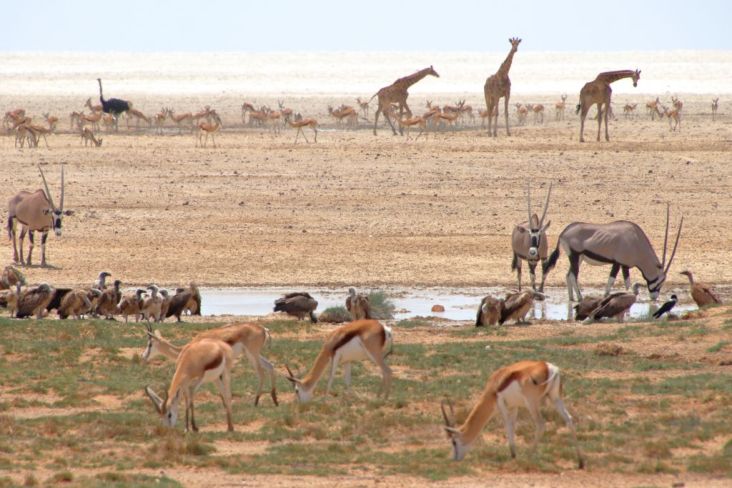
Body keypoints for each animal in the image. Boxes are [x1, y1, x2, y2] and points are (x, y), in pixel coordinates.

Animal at [544, 203, 680, 302]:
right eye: (660, 280)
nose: (654, 297)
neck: (636, 240)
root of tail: (564, 232)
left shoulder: (625, 265)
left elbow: (627, 282)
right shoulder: (618, 263)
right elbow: (612, 279)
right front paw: (606, 296)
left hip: (579, 258)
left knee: (568, 275)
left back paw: (571, 298)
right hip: (575, 255)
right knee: (573, 275)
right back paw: (580, 297)